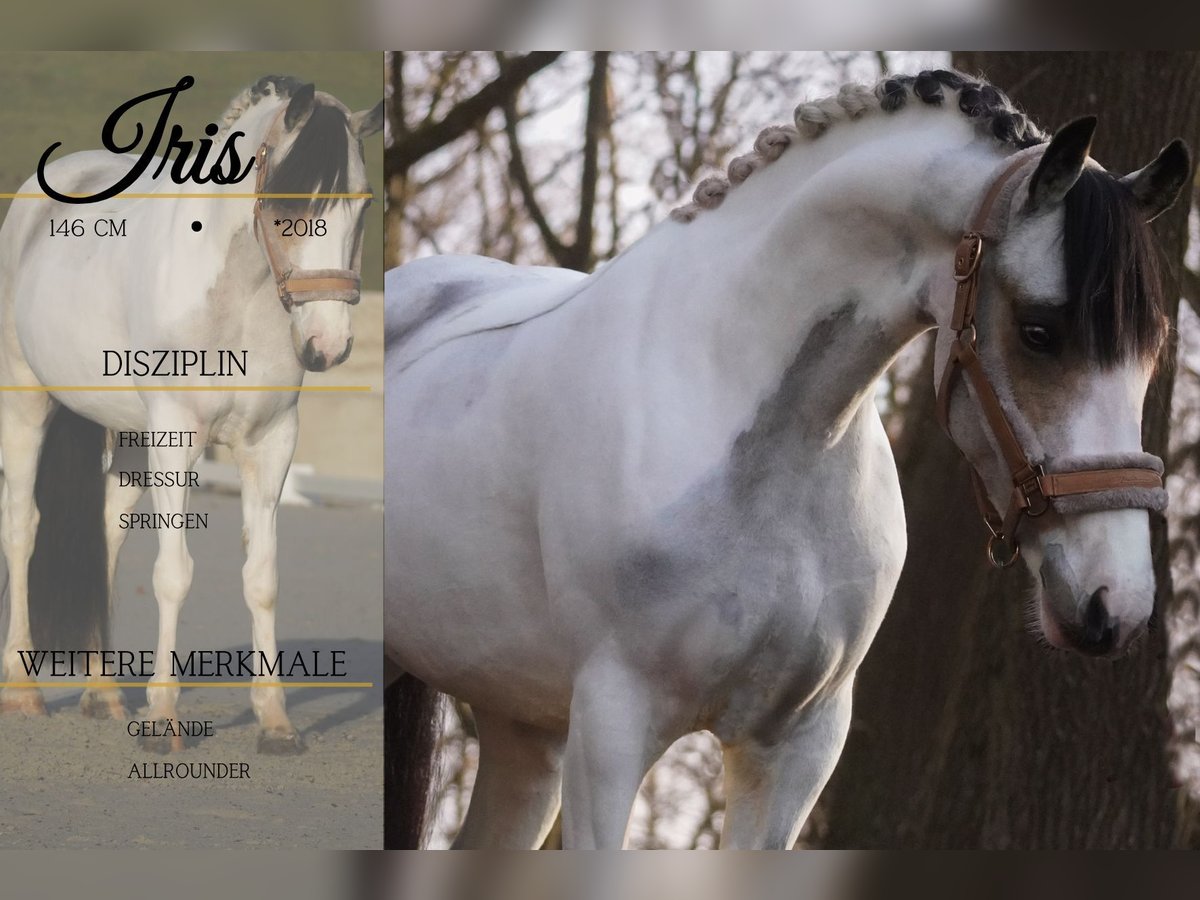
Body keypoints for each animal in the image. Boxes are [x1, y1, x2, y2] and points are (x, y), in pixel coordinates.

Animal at [0, 75, 382, 754]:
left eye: (361, 206)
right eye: (288, 202)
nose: (327, 345)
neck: (237, 298)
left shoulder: (271, 443)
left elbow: (262, 576)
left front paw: (276, 723)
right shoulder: (177, 437)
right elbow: (173, 573)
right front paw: (162, 720)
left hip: (129, 435)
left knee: (106, 532)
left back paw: (102, 693)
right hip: (25, 405)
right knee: (22, 527)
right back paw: (23, 692)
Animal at [384, 69, 1191, 848]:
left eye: (1153, 347)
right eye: (1039, 331)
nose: (1114, 604)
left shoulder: (799, 746)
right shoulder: (613, 726)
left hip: (524, 728)